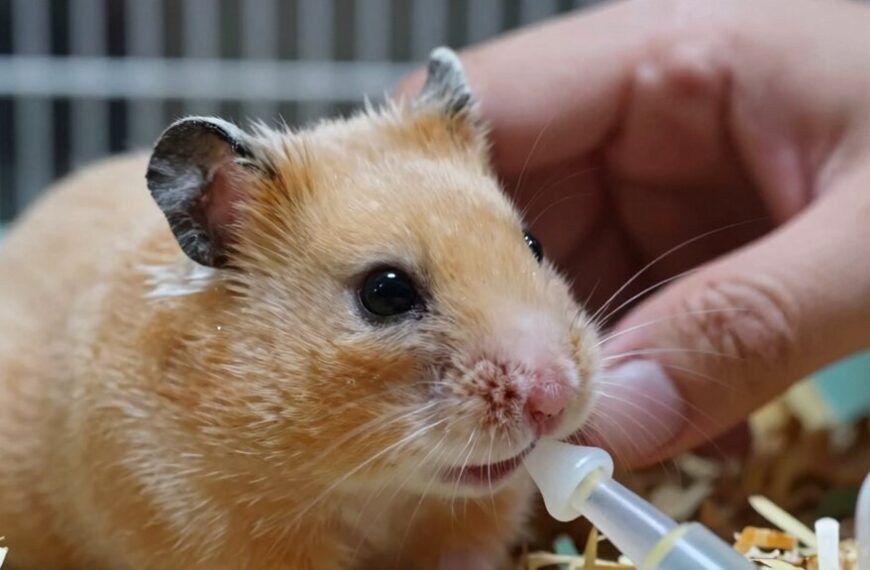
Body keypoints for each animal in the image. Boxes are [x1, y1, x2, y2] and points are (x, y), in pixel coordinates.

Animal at [0, 48, 599, 570]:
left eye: (534, 244)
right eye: (385, 292)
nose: (555, 397)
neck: (375, 491)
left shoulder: (473, 522)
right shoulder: (202, 521)